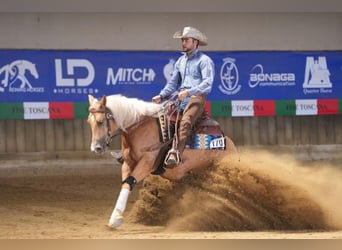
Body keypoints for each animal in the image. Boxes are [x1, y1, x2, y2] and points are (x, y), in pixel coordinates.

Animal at [87, 94, 238, 229]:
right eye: (89, 122)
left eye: (100, 121)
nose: (96, 148)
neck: (139, 128)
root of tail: (228, 143)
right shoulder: (128, 163)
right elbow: (125, 184)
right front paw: (115, 217)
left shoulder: (147, 162)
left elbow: (129, 182)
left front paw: (115, 220)